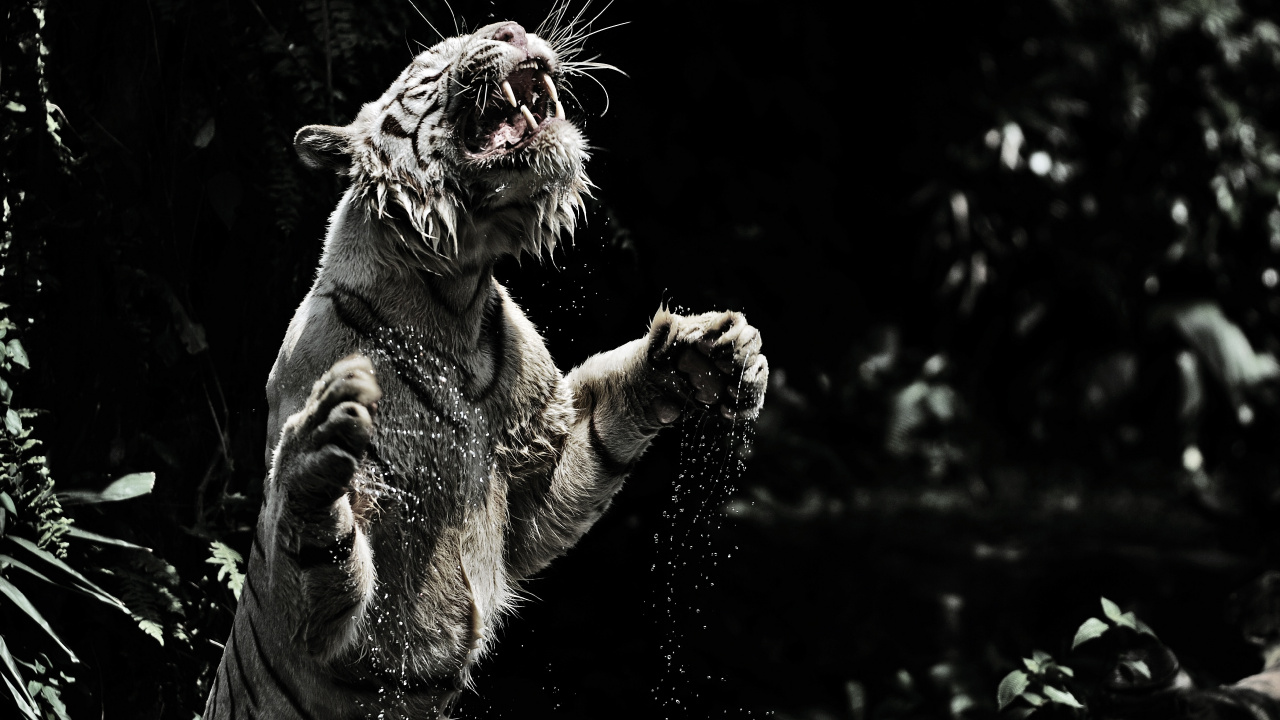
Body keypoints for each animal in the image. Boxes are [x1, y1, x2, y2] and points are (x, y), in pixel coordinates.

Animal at [202, 18, 768, 720]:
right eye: (428, 67)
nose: (513, 28)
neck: (455, 298)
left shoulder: (534, 471)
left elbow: (603, 427)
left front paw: (707, 352)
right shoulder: (328, 618)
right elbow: (310, 552)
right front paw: (319, 444)